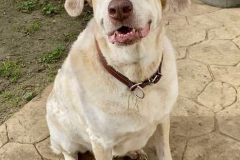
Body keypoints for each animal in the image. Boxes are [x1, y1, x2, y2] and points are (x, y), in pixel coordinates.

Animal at [46, 0, 190, 159]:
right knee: (68, 152)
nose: (120, 8)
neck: (135, 78)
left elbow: (165, 152)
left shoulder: (163, 120)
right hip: (63, 136)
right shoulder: (101, 142)